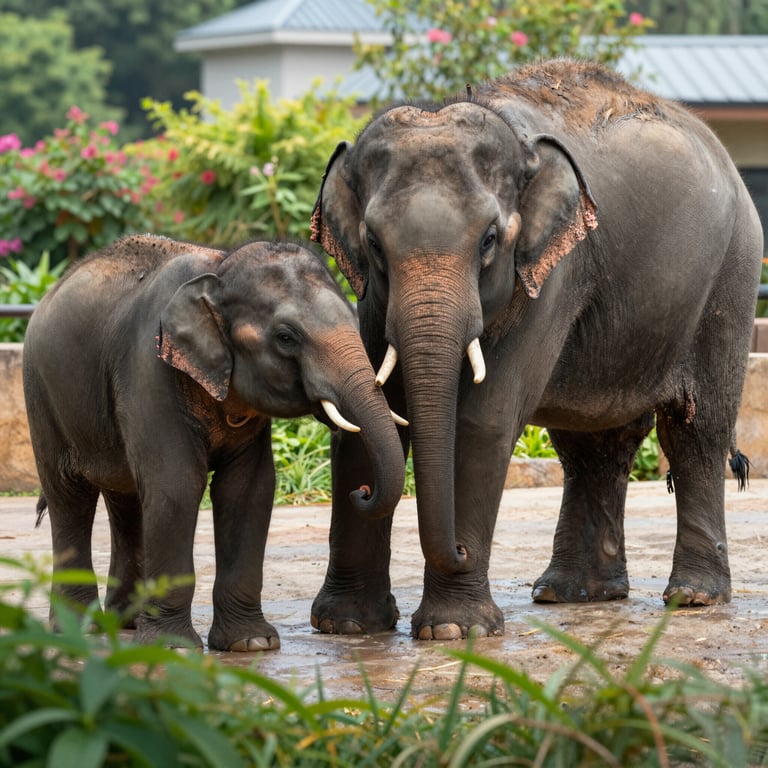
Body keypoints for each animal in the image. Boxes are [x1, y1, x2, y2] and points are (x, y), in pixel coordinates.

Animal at [22, 234, 406, 651]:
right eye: (286, 337)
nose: (362, 491)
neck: (218, 270)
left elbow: (247, 489)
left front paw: (251, 643)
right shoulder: (148, 367)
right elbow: (176, 486)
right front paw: (172, 647)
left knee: (126, 500)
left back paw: (126, 622)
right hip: (42, 395)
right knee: (70, 496)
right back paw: (77, 629)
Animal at [309, 59, 763, 641]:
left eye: (489, 240)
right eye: (372, 244)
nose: (459, 549)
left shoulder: (552, 278)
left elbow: (483, 422)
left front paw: (453, 632)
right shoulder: (370, 297)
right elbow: (364, 415)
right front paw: (346, 626)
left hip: (732, 275)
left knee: (695, 431)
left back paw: (692, 598)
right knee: (594, 444)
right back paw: (573, 594)